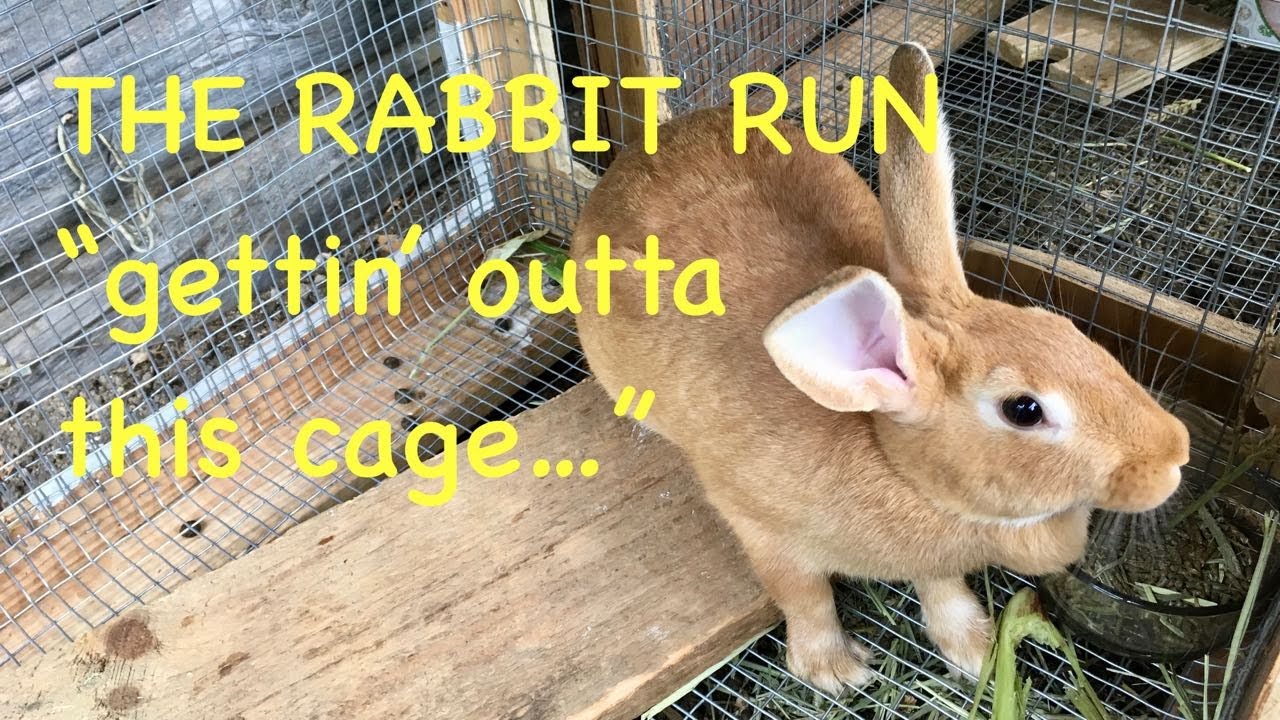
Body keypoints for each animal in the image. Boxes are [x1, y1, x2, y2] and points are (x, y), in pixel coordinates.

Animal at [569, 42, 1190, 693]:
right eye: (1024, 409)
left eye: (1068, 330)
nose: (1174, 454)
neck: (897, 464)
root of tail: (642, 150)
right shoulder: (763, 531)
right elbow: (804, 596)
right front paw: (834, 671)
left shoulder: (934, 563)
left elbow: (941, 587)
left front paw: (975, 650)